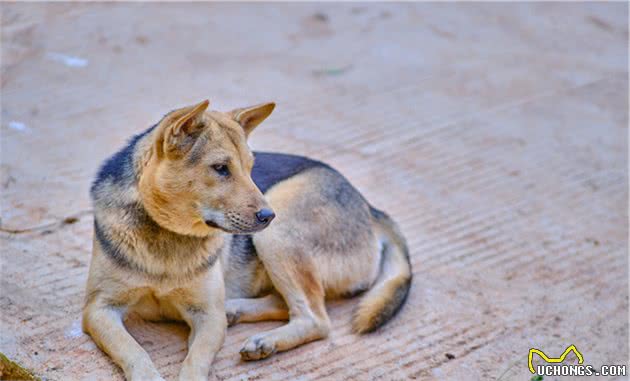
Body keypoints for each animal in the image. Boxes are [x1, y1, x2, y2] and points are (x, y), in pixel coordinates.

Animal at [84, 100, 412, 380]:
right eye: (220, 168)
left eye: (250, 168)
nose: (268, 215)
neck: (169, 233)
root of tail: (370, 208)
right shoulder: (98, 309)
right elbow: (134, 351)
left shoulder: (208, 317)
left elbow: (195, 361)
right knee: (291, 305)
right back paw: (238, 312)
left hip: (278, 230)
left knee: (316, 318)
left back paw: (265, 340)